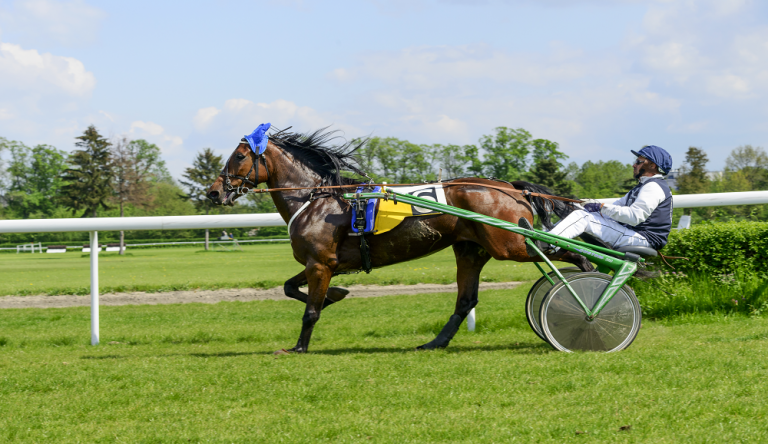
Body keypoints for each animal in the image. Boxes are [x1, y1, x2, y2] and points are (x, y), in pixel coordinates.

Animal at [206, 128, 593, 353]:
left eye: (239, 156)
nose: (213, 192)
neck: (316, 199)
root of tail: (511, 187)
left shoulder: (321, 263)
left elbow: (310, 311)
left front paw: (298, 347)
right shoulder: (323, 263)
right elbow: (290, 288)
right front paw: (336, 295)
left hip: (509, 244)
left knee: (564, 252)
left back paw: (590, 282)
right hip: (472, 249)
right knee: (465, 300)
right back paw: (434, 343)